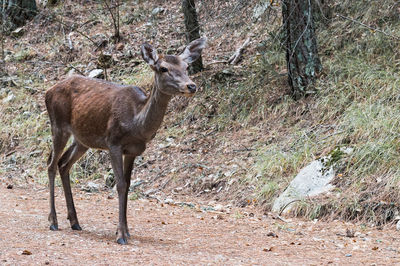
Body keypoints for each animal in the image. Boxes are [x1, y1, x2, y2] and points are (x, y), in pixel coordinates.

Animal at [44, 37, 206, 245]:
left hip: (82, 140)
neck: (136, 124)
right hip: (58, 125)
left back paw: (75, 221)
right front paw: (120, 234)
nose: (191, 86)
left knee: (64, 164)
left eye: (186, 67)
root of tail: (48, 91)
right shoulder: (114, 143)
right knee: (51, 163)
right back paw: (53, 221)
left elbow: (128, 185)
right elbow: (120, 184)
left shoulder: (133, 151)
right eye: (163, 68)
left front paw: (127, 231)